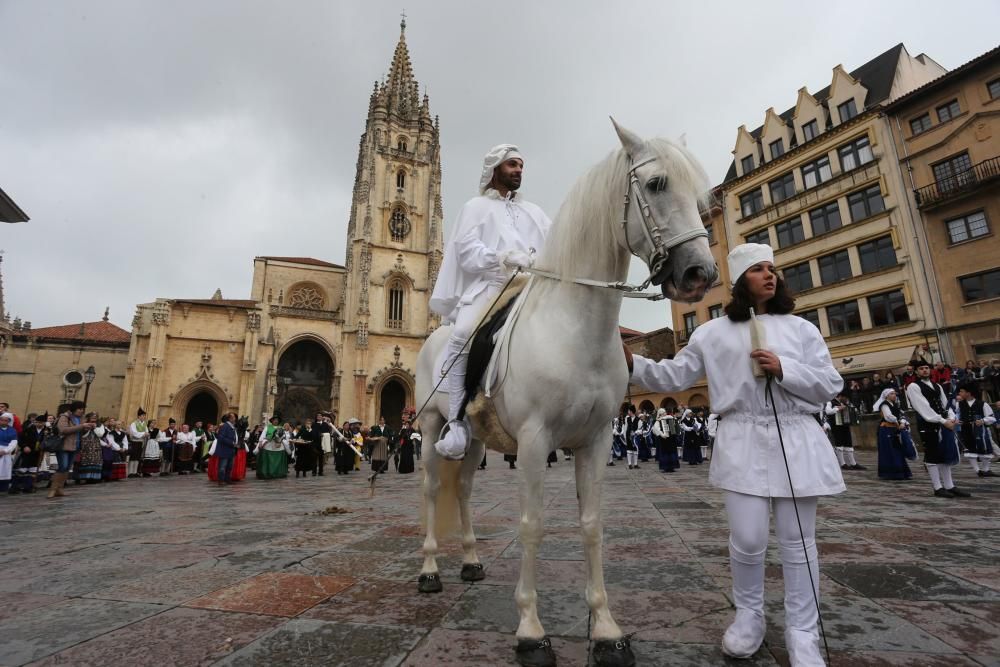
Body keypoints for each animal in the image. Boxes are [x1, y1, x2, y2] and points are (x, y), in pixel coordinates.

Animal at [414, 121, 720, 667]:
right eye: (657, 184)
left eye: (702, 193)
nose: (699, 274)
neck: (576, 328)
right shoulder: (536, 442)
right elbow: (532, 524)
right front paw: (531, 630)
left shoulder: (595, 440)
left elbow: (592, 524)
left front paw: (606, 629)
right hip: (431, 431)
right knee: (432, 489)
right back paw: (430, 570)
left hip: (474, 440)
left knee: (464, 489)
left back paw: (470, 559)